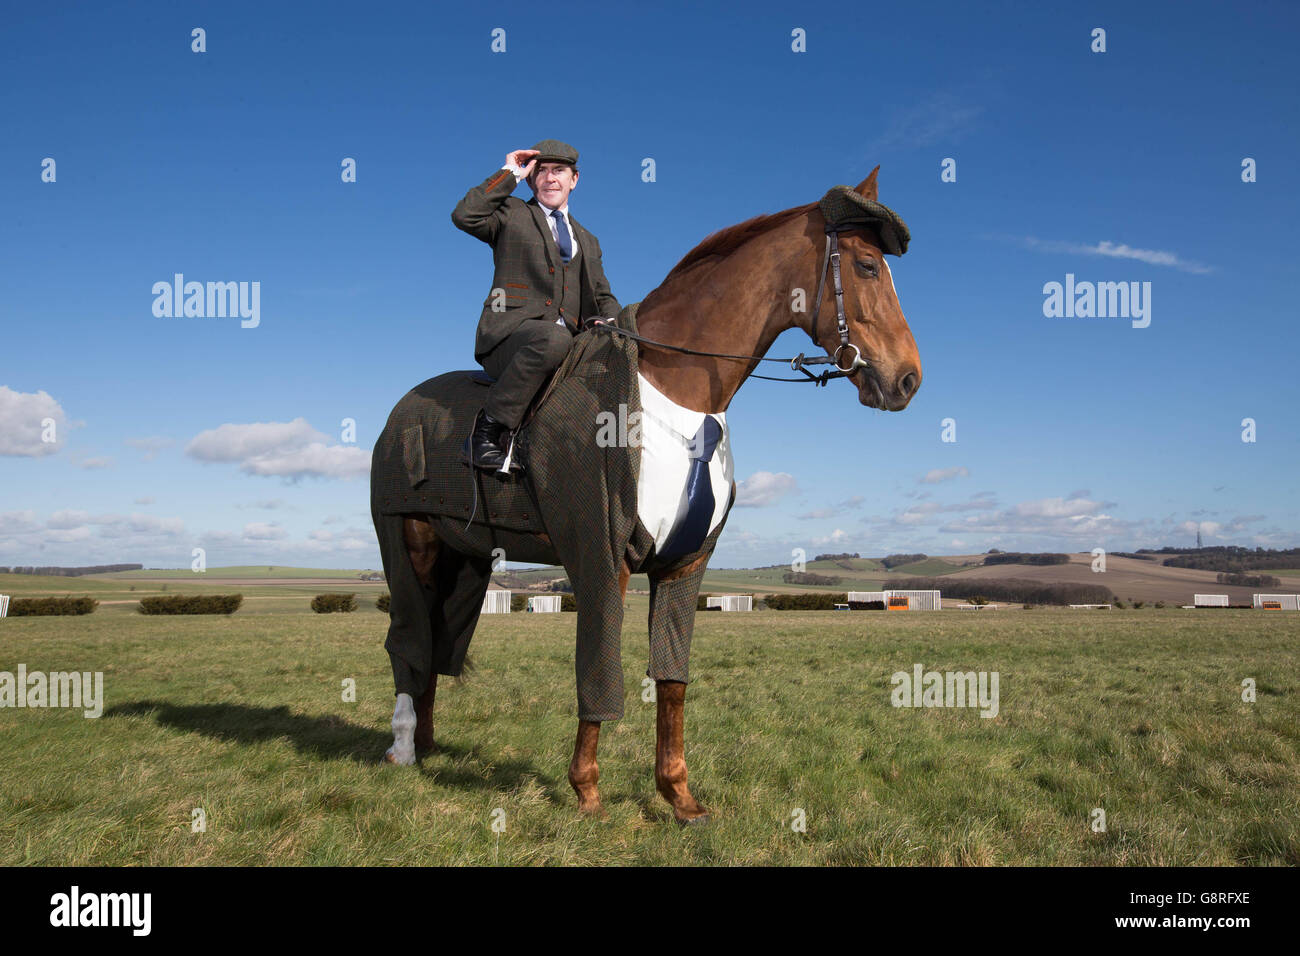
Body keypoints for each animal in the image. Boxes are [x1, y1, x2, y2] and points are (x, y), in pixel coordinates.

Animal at [379, 164, 920, 822]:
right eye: (867, 266)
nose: (908, 379)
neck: (677, 394)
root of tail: (403, 409)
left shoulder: (684, 564)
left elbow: (672, 681)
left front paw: (679, 795)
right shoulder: (602, 555)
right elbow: (599, 668)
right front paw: (586, 787)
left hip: (464, 557)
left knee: (436, 641)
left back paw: (427, 745)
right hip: (408, 542)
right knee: (408, 640)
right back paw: (403, 748)